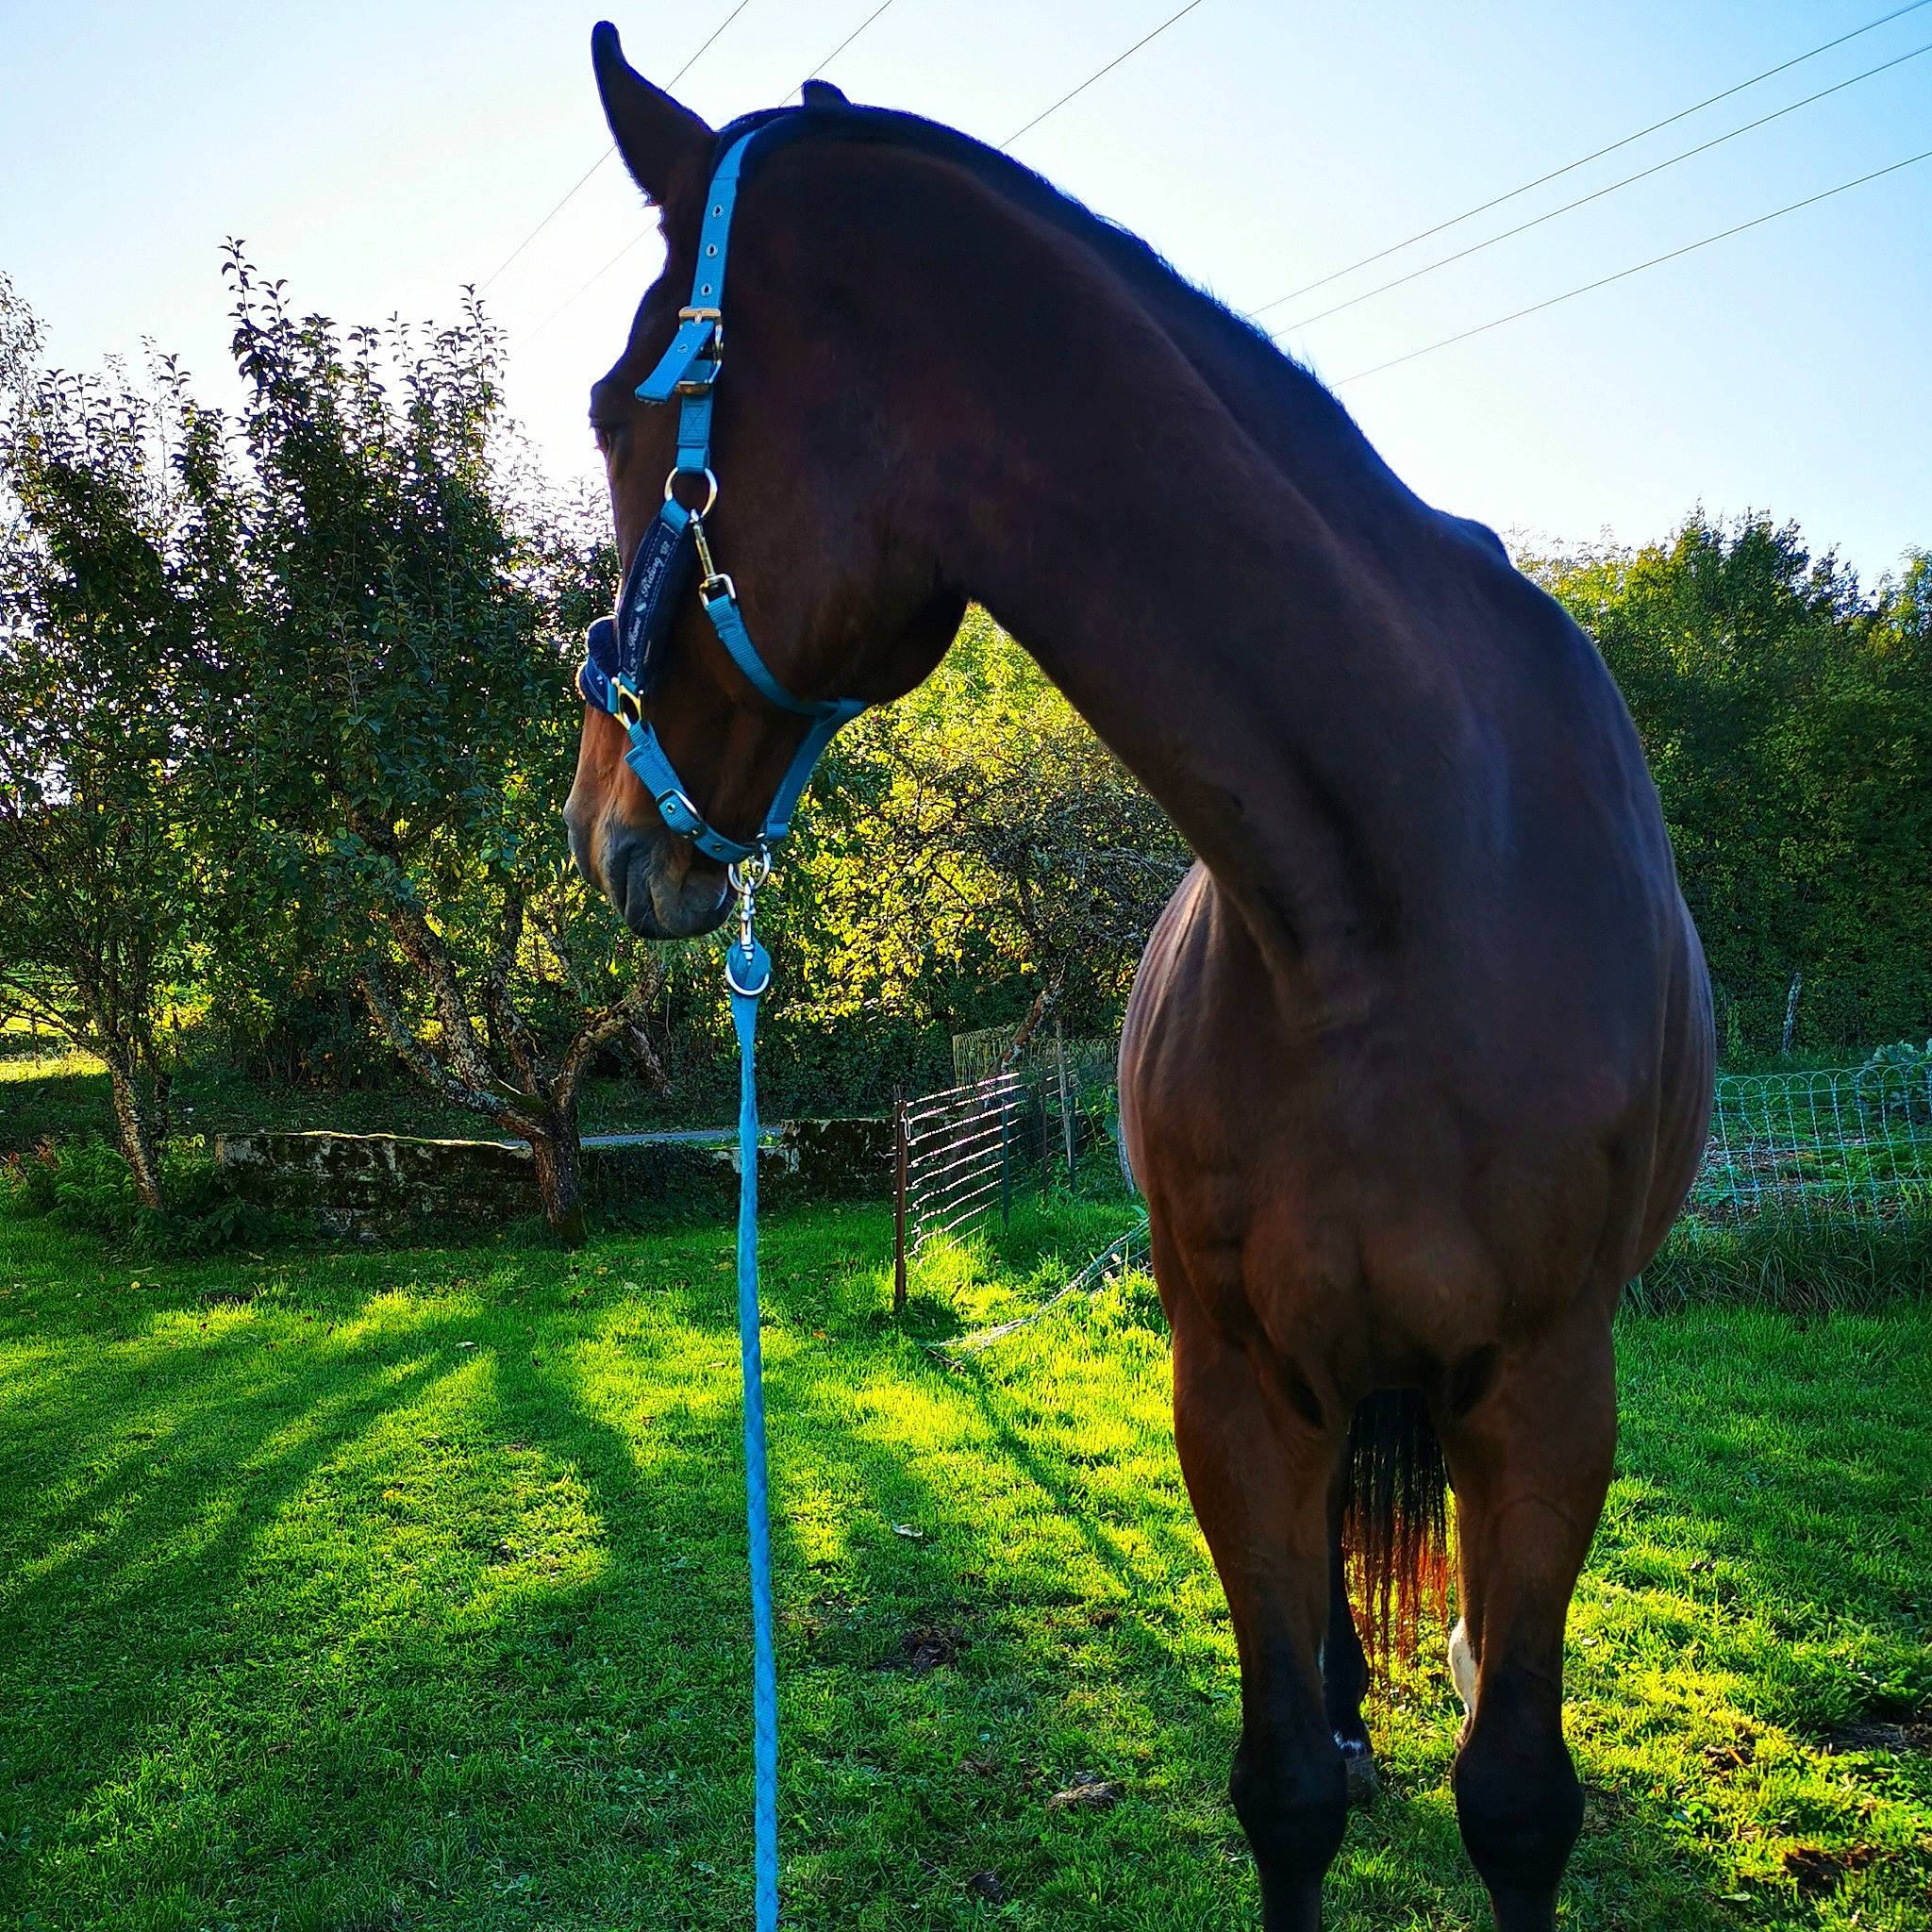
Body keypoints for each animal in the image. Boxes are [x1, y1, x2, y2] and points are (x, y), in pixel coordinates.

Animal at [564, 25, 1715, 1929]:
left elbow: (1518, 1799)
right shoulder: (1234, 1386)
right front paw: (1330, 1746)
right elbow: (1284, 1790)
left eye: (615, 408)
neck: (1397, 894)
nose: (600, 824)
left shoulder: (1550, 1392)